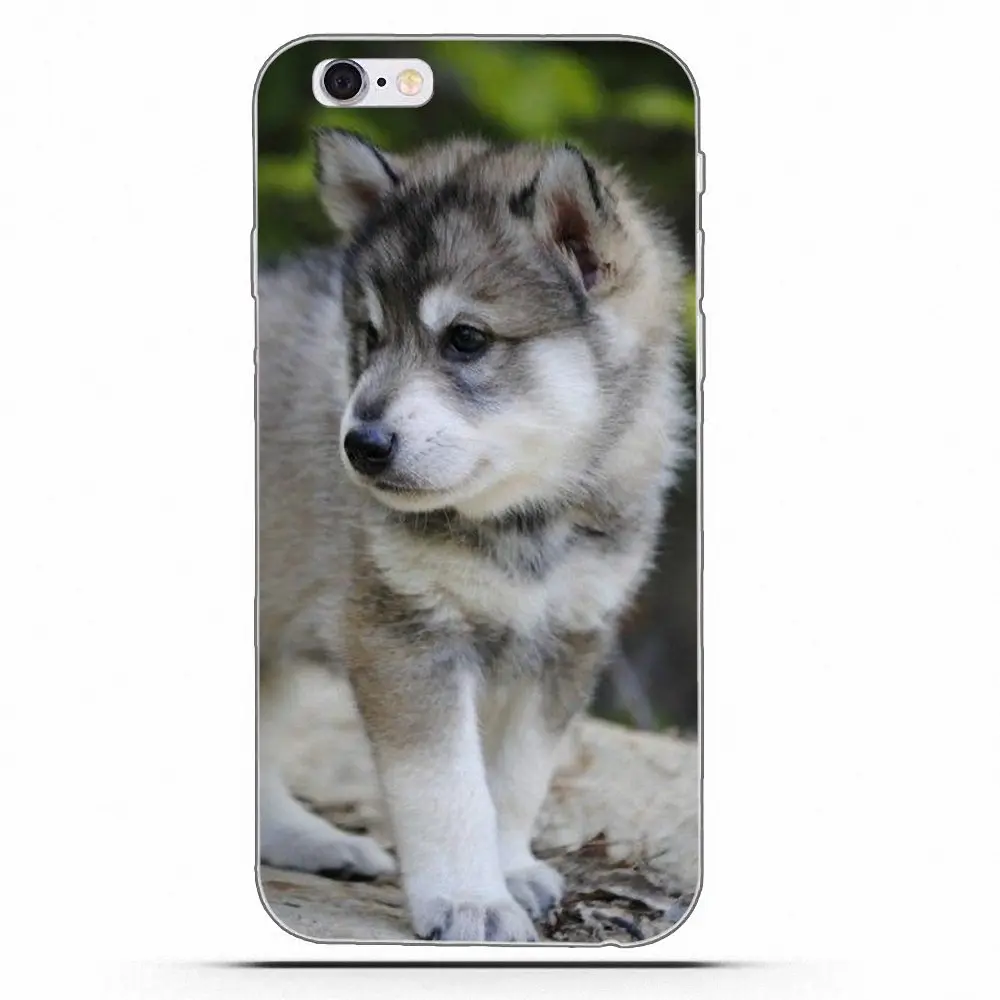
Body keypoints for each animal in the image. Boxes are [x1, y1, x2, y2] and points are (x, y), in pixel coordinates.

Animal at [257, 129, 691, 942]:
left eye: (465, 339)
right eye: (371, 335)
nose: (360, 445)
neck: (524, 521)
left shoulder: (567, 638)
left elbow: (515, 778)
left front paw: (510, 868)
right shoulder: (406, 634)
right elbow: (447, 788)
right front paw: (470, 900)